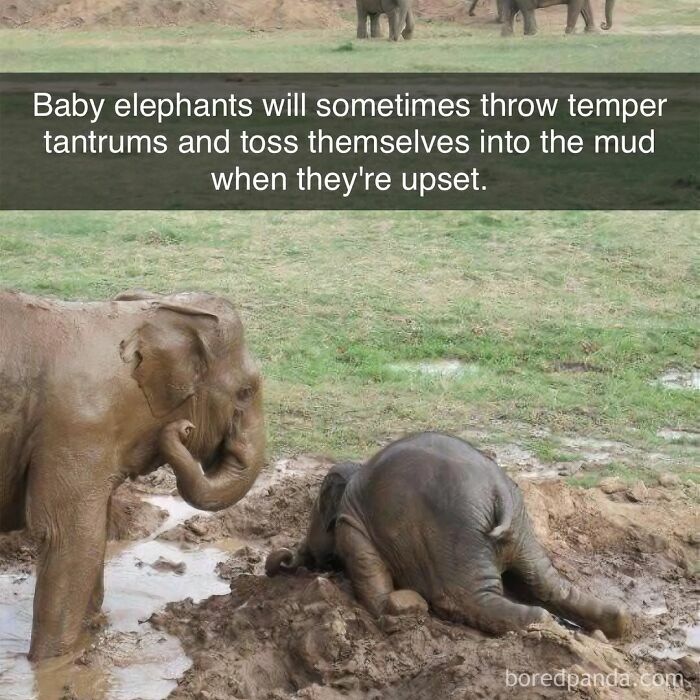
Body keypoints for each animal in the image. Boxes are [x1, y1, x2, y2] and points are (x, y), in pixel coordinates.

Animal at [0, 289, 265, 660]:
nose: (183, 429)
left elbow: (95, 533)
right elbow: (70, 538)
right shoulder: (77, 429)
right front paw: (53, 663)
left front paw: (92, 635)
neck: (143, 316)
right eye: (245, 392)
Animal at [266, 432, 630, 638]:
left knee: (466, 597)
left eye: (316, 511)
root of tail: (499, 493)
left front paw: (395, 610)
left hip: (457, 535)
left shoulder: (352, 526)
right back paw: (613, 625)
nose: (282, 558)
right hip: (521, 529)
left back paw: (541, 623)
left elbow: (368, 572)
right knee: (548, 584)